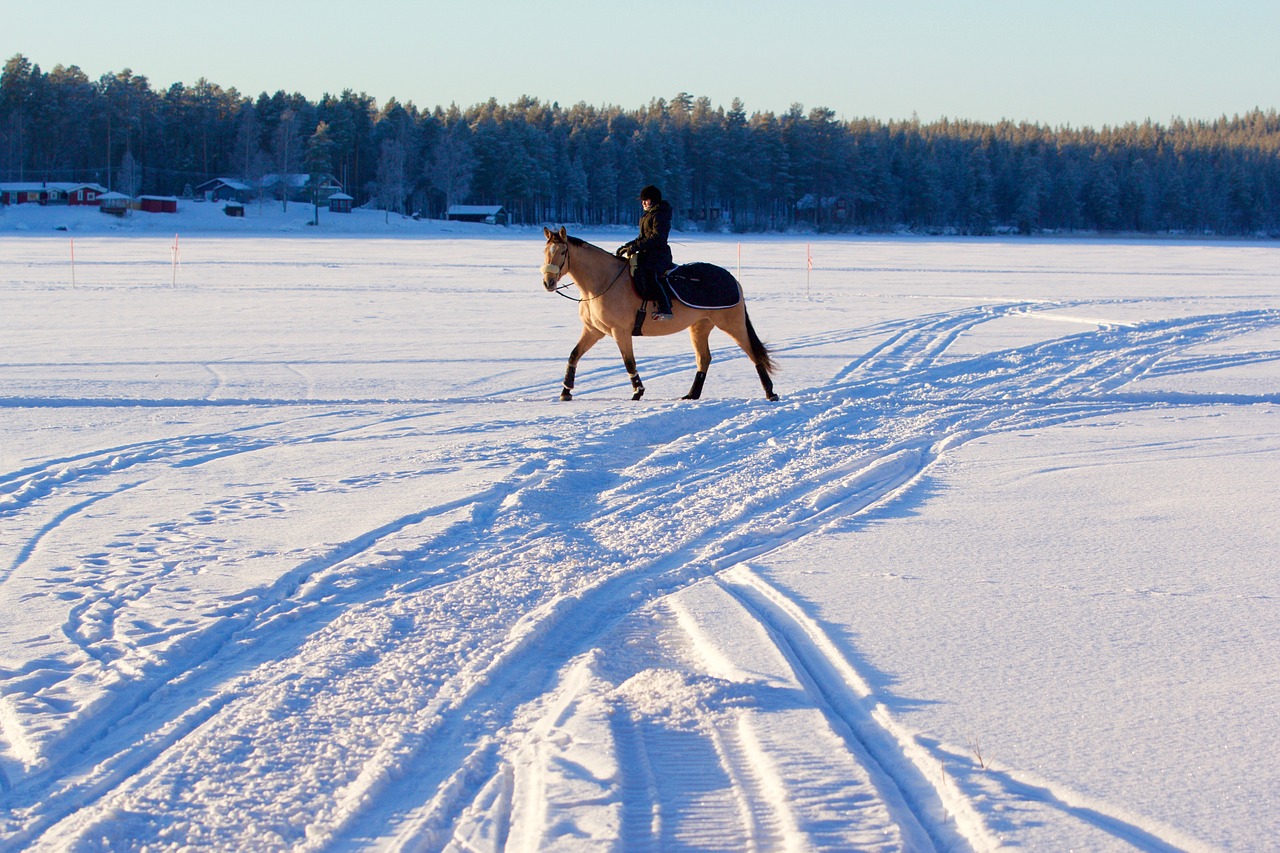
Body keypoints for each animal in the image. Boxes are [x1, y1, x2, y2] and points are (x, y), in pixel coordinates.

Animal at [540, 224, 778, 399]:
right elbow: (573, 355)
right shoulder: (593, 330)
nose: (548, 282)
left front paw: (638, 391)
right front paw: (565, 391)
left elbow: (629, 362)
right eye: (544, 251)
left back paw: (770, 392)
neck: (603, 282)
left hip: (732, 324)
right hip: (700, 327)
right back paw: (691, 395)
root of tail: (732, 279)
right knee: (704, 359)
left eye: (563, 251)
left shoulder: (620, 332)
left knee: (752, 353)